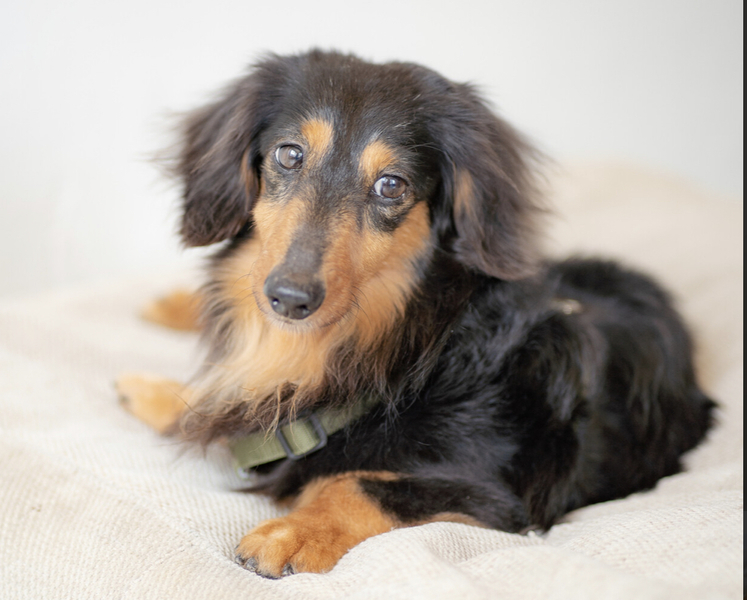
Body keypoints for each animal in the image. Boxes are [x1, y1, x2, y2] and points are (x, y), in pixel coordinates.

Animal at [116, 49, 715, 578]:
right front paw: (157, 390)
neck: (414, 349)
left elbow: (357, 483)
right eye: (289, 155)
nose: (289, 298)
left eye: (391, 185)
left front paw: (292, 533)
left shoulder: (491, 494)